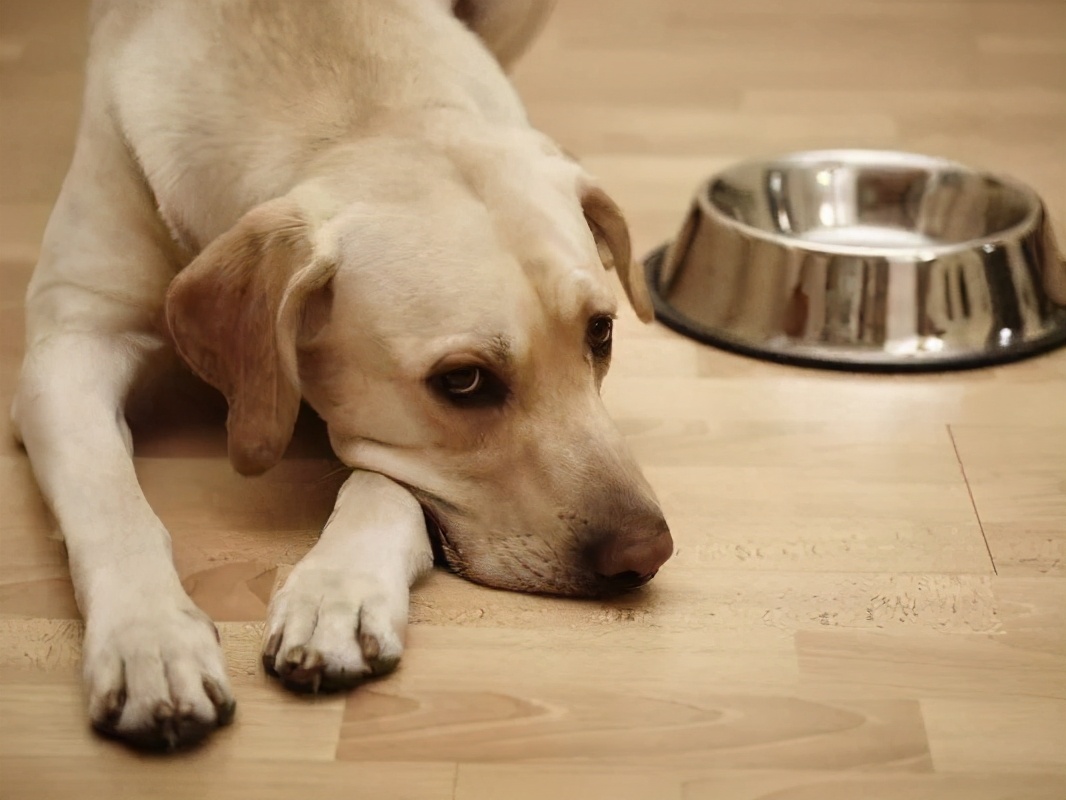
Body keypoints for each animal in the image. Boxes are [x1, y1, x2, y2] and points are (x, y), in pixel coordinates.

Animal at [10, 0, 673, 750]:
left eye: (601, 332)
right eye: (464, 381)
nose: (647, 553)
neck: (354, 110)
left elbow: (385, 485)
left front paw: (339, 592)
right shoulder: (70, 344)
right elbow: (110, 500)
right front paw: (150, 640)